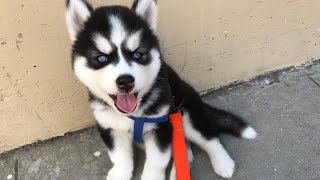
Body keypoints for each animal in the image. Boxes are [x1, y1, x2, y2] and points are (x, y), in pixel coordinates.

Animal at [65, 0, 258, 179]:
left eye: (137, 54)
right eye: (101, 58)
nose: (125, 81)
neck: (132, 114)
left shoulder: (161, 126)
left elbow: (156, 161)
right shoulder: (110, 127)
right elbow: (119, 157)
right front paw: (120, 174)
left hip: (185, 114)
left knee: (209, 138)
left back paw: (223, 163)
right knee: (186, 150)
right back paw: (178, 172)